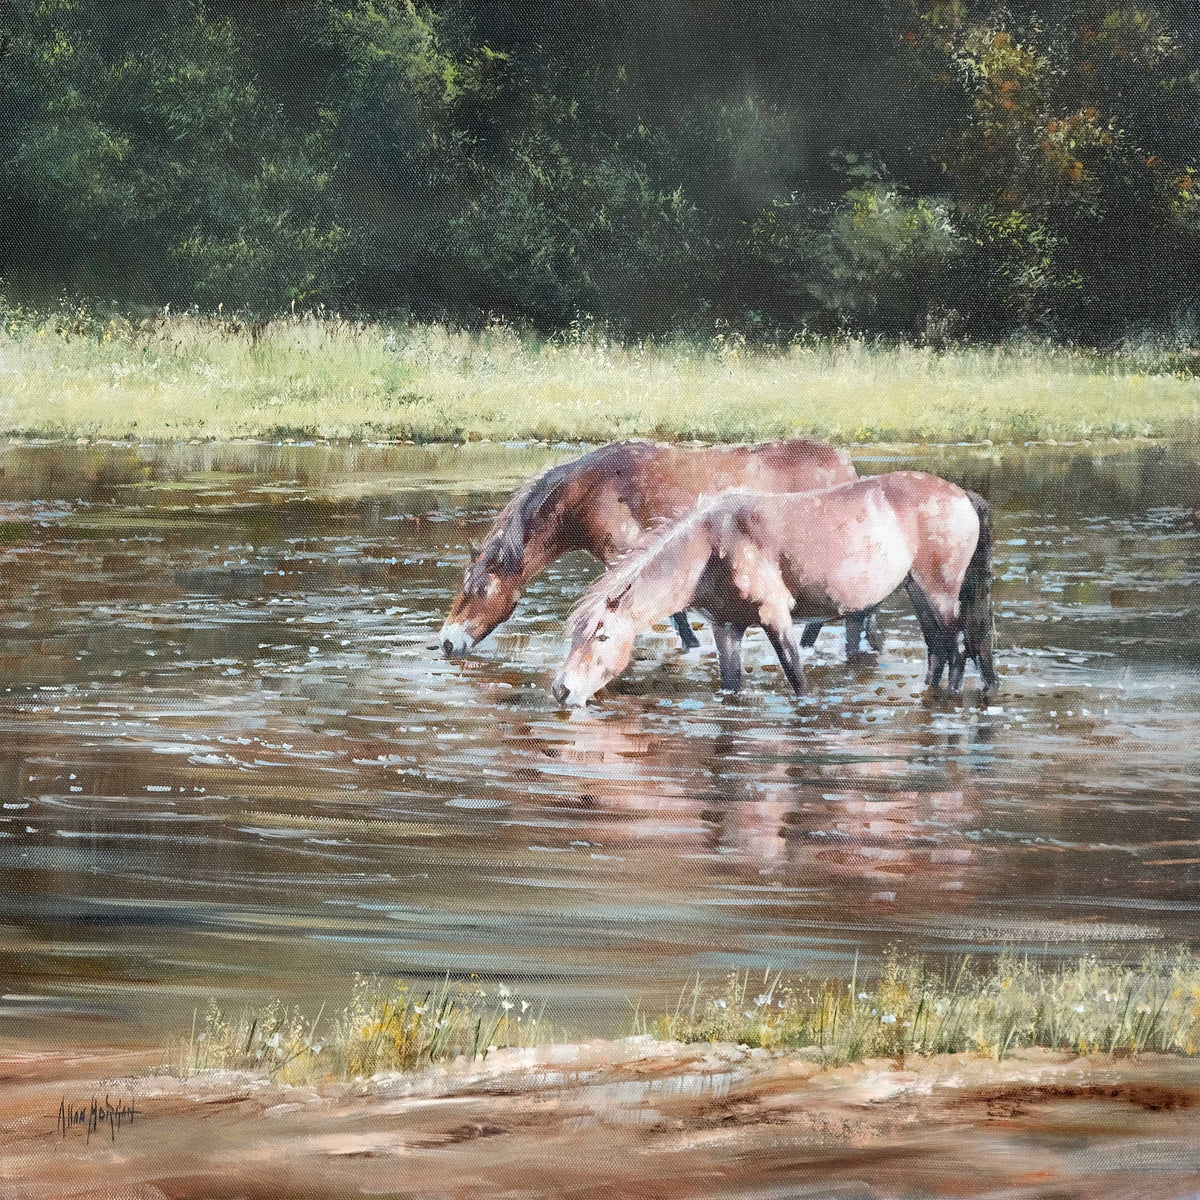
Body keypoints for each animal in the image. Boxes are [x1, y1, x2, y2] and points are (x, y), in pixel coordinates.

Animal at [551, 471, 998, 707]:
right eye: (572, 637)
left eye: (603, 636)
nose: (561, 690)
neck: (709, 546)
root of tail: (961, 495)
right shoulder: (726, 627)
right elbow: (731, 684)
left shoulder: (775, 615)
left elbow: (798, 680)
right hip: (916, 590)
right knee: (939, 648)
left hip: (940, 592)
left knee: (957, 649)